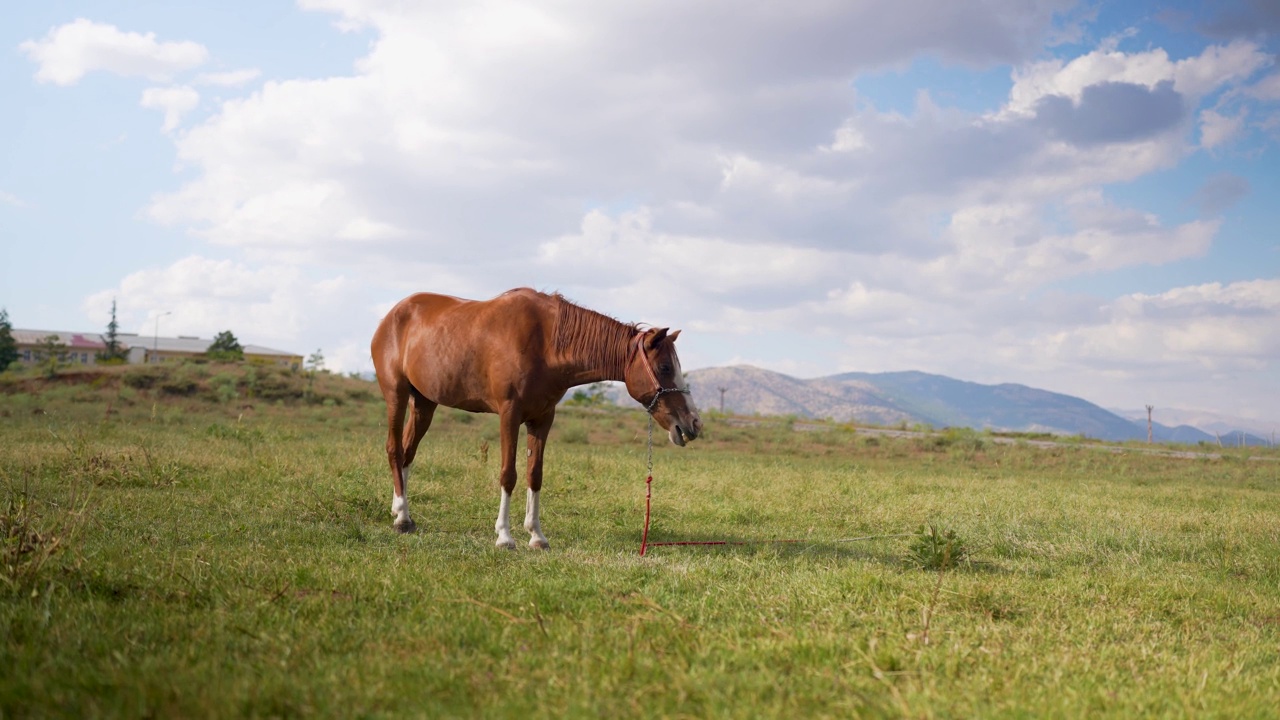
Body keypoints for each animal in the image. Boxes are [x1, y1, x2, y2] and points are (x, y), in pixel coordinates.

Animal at [371, 285, 706, 543]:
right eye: (665, 367)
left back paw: (401, 513)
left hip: (424, 403)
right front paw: (504, 536)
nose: (693, 424)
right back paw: (402, 519)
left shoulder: (543, 419)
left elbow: (535, 474)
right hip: (396, 395)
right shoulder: (509, 414)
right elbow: (509, 474)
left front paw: (536, 536)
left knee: (408, 453)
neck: (545, 343)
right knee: (394, 449)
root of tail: (392, 315)